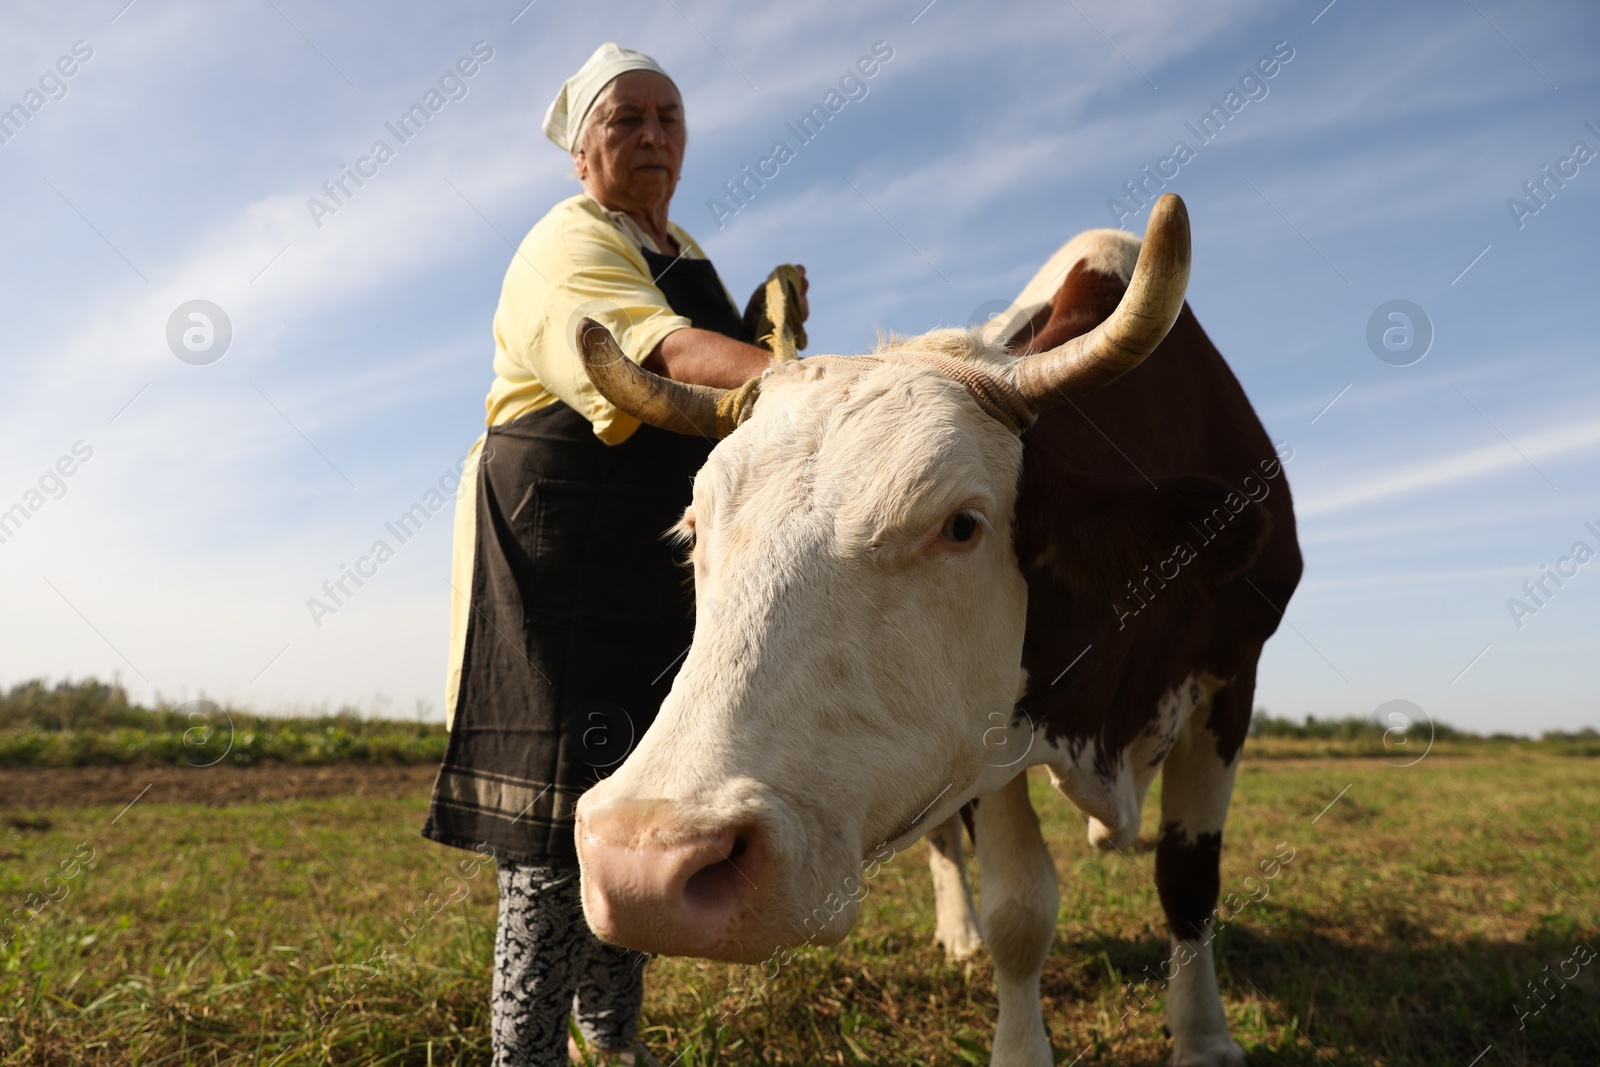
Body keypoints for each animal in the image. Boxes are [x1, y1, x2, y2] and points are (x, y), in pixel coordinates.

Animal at [566, 191, 1299, 1067]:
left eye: (961, 525)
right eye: (693, 531)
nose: (641, 862)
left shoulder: (1232, 677)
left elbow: (1188, 879)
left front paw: (1204, 1036)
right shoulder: (989, 740)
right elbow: (1021, 910)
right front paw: (1019, 1042)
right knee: (948, 842)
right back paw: (959, 933)